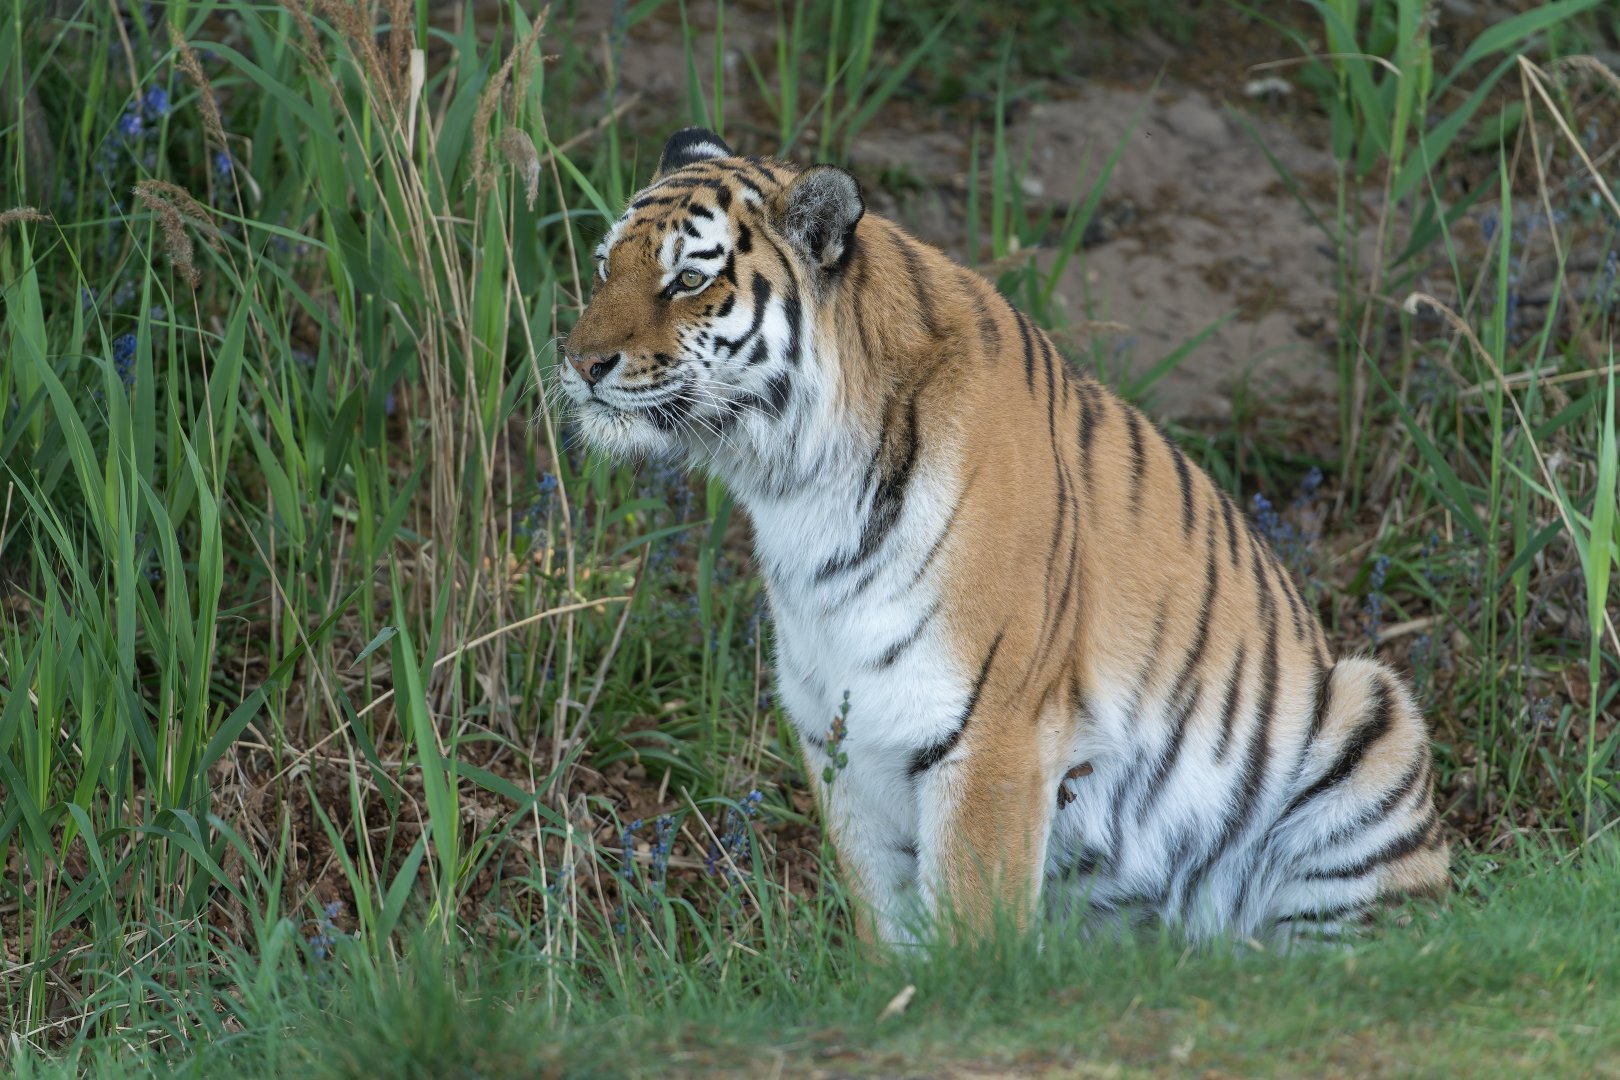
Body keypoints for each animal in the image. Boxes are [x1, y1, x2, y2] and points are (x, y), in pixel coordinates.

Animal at [558, 126, 1449, 946]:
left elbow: (971, 933)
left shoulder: (989, 732)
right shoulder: (839, 738)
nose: (580, 363)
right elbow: (888, 926)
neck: (797, 489)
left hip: (1370, 713)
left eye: (689, 280)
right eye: (604, 267)